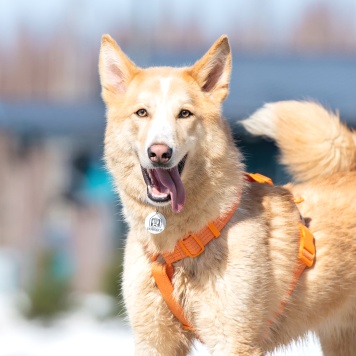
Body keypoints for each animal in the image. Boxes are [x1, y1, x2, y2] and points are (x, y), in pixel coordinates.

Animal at [98, 34, 356, 356]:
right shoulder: (154, 340)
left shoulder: (233, 339)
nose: (159, 153)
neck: (177, 246)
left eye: (185, 114)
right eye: (141, 113)